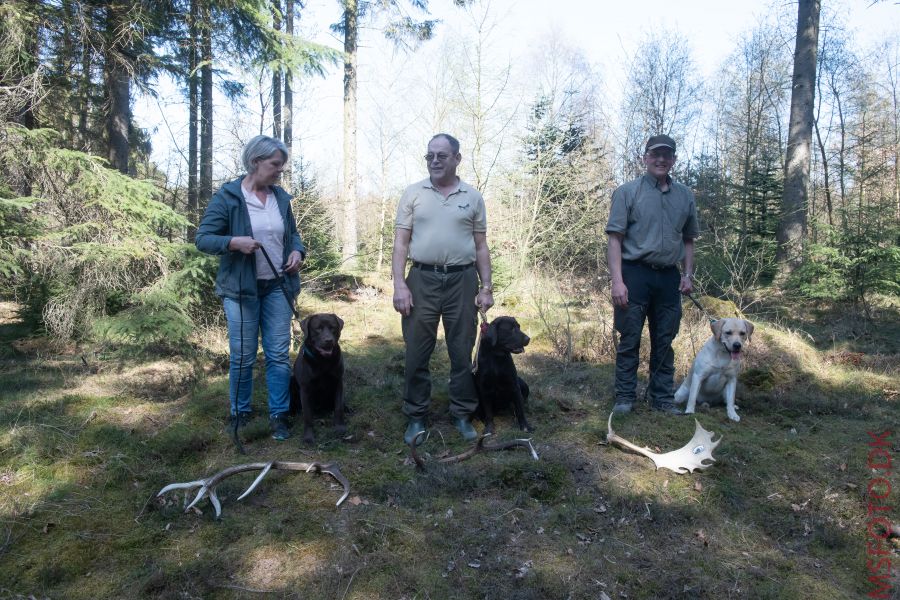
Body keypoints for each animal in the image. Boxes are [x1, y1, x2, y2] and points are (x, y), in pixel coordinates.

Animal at [290, 312, 346, 442]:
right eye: (318, 329)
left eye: (333, 328)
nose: (328, 340)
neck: (323, 361)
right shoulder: (305, 389)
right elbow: (307, 415)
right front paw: (308, 436)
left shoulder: (338, 382)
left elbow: (338, 407)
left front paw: (339, 427)